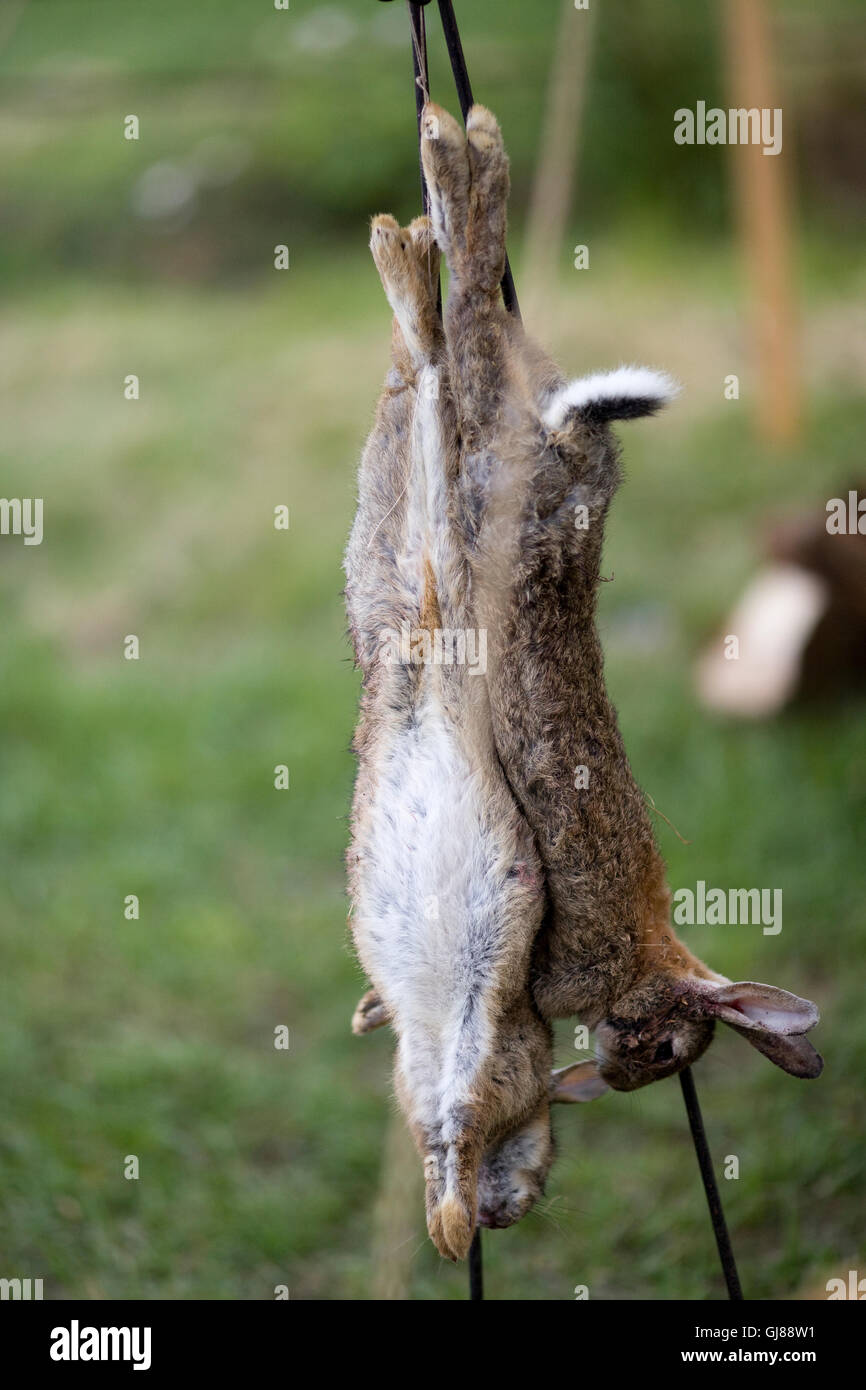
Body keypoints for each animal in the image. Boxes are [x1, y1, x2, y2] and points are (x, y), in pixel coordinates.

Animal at [354, 101, 822, 1102]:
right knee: (473, 319)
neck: (647, 955)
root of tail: (576, 459)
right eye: (664, 1045)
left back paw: (464, 160)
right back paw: (458, 175)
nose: (611, 1067)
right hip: (485, 474)